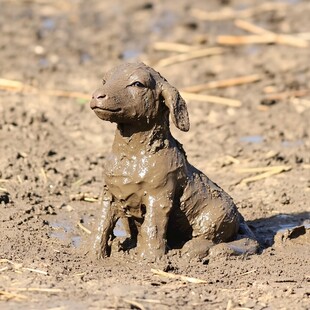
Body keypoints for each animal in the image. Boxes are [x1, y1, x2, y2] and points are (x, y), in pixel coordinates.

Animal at [89, 62, 256, 260]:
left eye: (137, 84)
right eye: (104, 81)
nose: (97, 95)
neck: (133, 157)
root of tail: (240, 218)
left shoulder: (160, 195)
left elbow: (152, 227)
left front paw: (149, 258)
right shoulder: (110, 193)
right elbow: (102, 223)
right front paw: (92, 253)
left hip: (218, 213)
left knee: (211, 238)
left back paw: (192, 249)